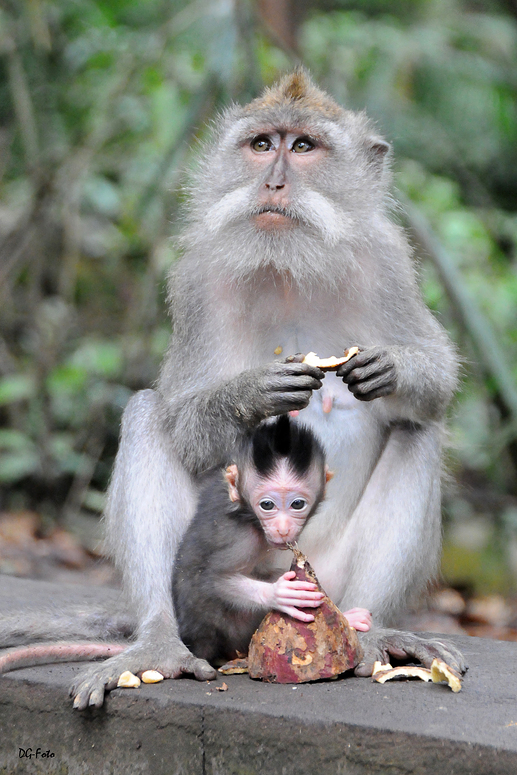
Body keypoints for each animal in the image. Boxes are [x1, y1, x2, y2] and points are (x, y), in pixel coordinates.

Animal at [173, 416, 370, 664]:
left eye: (297, 504)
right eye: (267, 505)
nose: (283, 529)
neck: (246, 513)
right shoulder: (243, 538)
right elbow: (216, 579)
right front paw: (278, 594)